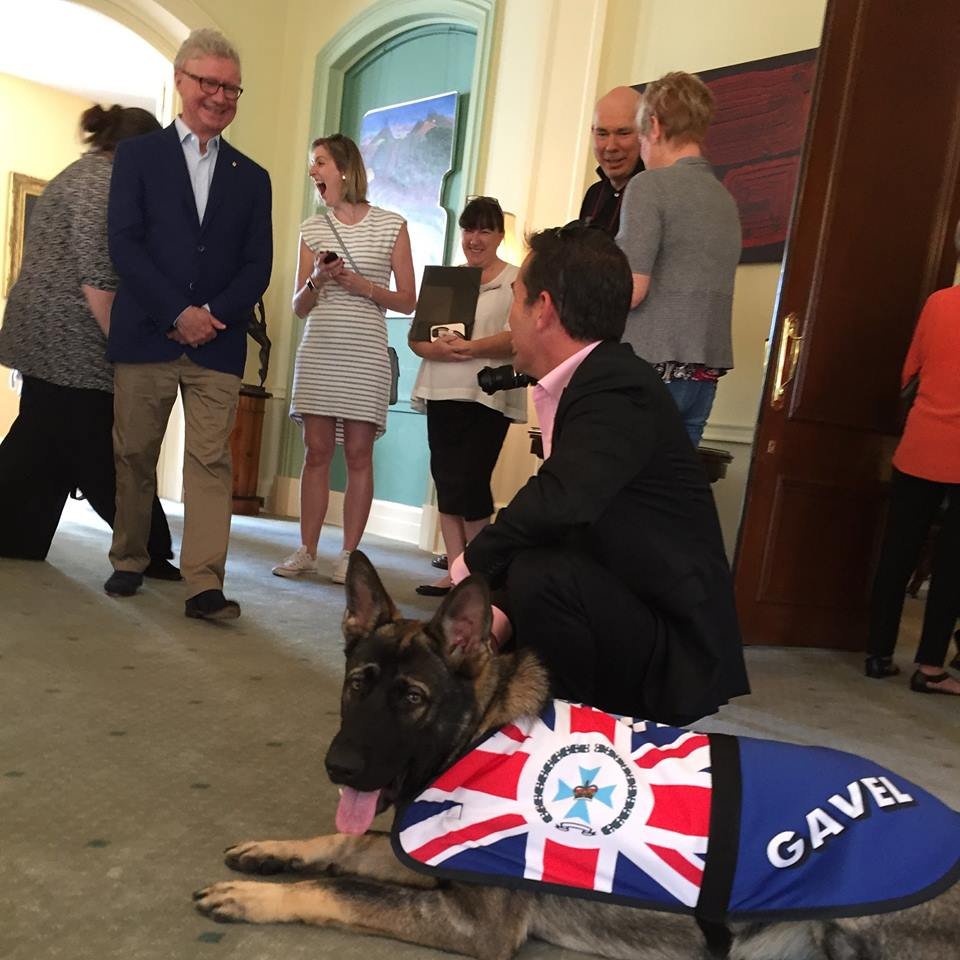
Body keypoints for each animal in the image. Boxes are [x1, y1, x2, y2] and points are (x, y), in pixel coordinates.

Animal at [197, 556, 960, 960]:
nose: (341, 768)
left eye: (411, 698)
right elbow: (349, 845)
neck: (481, 731)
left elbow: (342, 888)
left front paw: (259, 896)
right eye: (359, 686)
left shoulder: (473, 922)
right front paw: (275, 851)